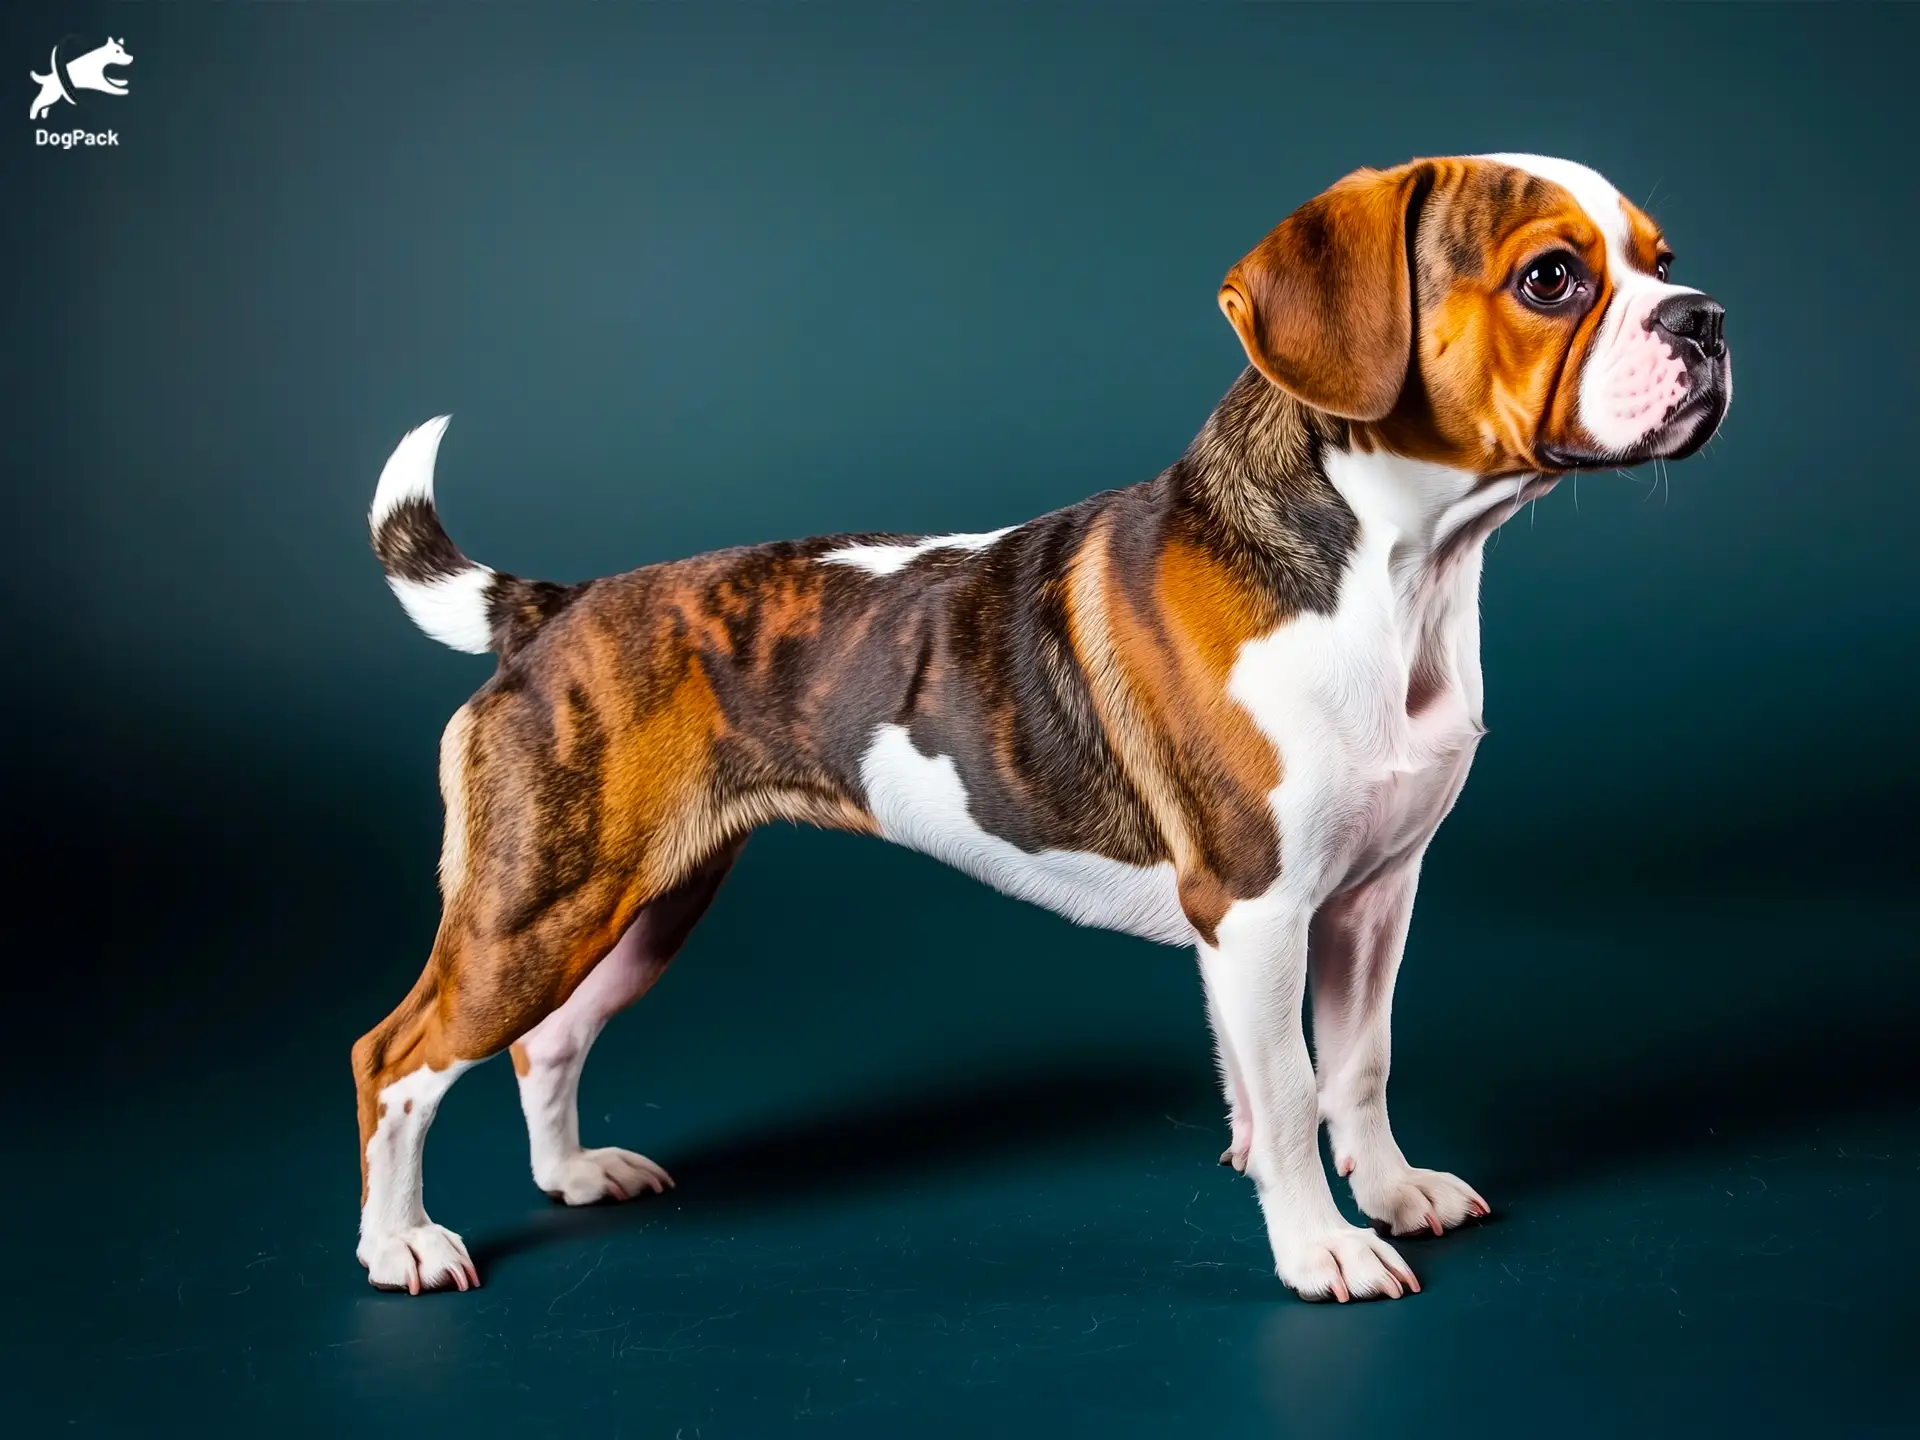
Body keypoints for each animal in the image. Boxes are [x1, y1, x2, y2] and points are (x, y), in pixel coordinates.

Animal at [353, 152, 1735, 1305]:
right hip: (536, 909)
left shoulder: (1372, 898)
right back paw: (401, 1243)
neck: (1398, 572)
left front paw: (1391, 1194)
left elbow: (1356, 1066)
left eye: (1662, 260)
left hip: (639, 903)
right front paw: (1325, 1249)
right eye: (1550, 278)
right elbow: (1291, 1091)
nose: (1706, 318)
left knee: (544, 1045)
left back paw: (573, 1176)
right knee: (396, 1058)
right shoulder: (1259, 908)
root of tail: (562, 607)